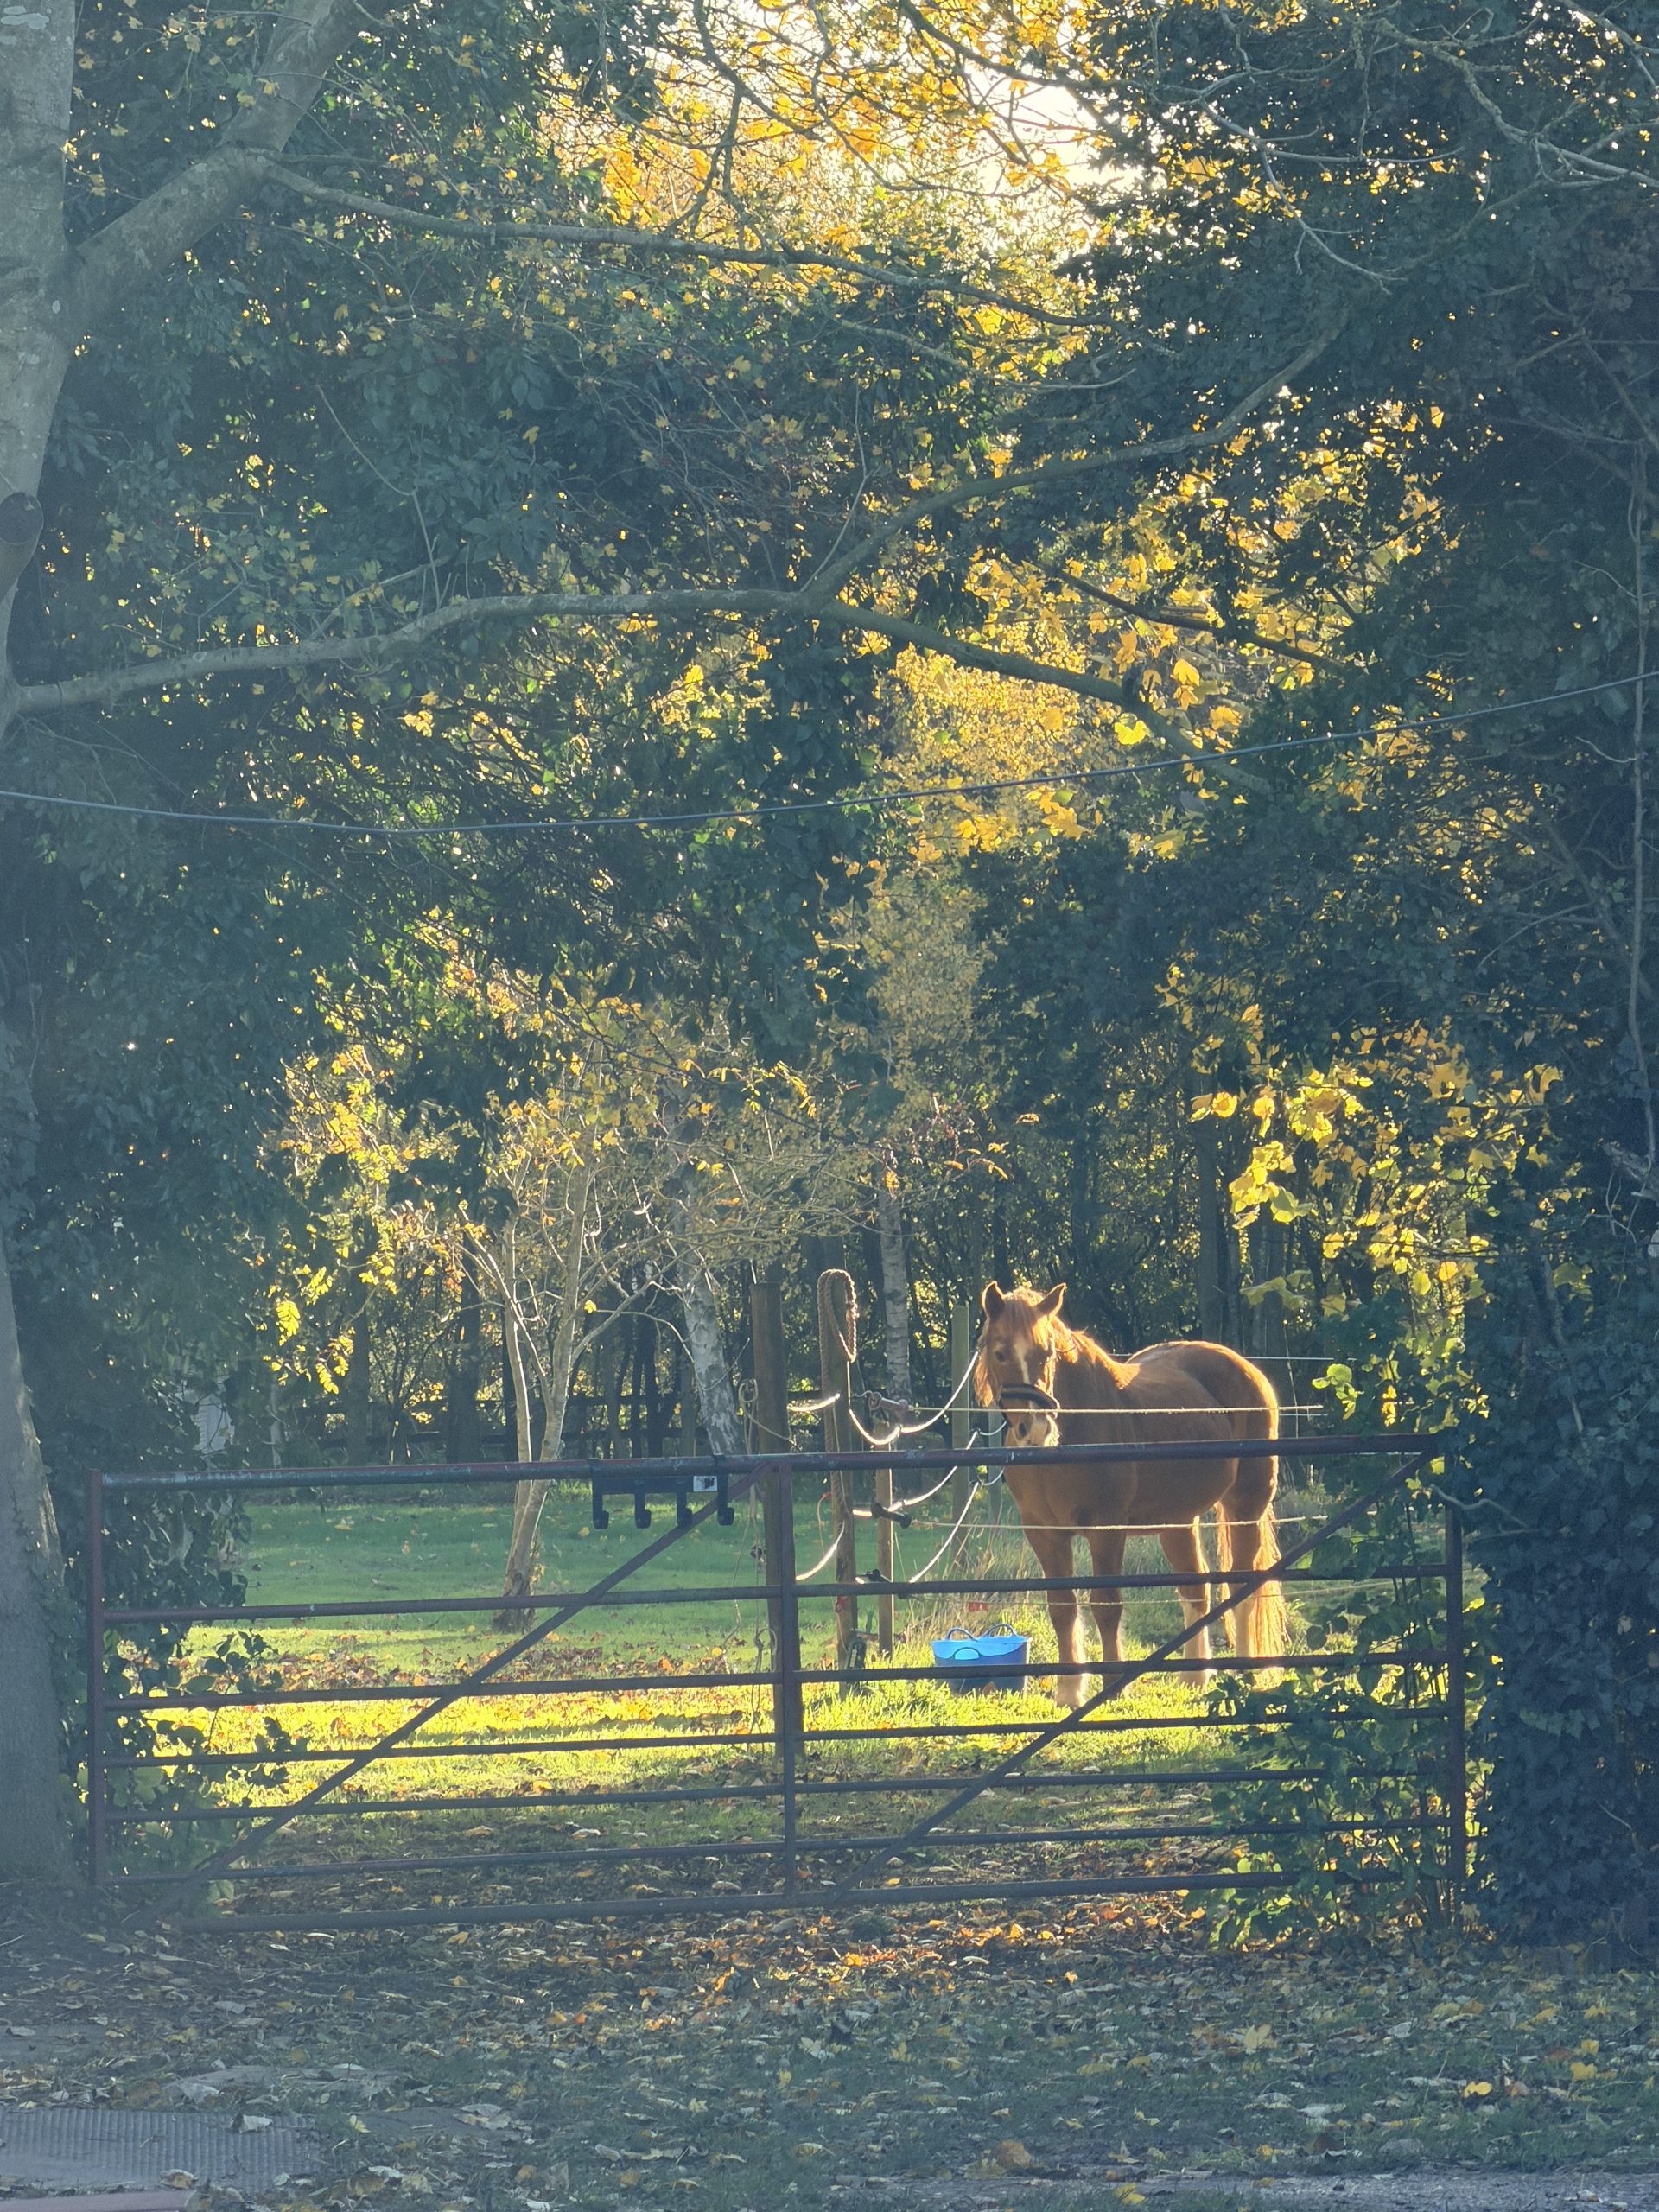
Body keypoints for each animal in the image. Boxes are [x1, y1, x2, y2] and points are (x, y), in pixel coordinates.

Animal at [975, 1282, 1287, 1705]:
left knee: (1241, 1585)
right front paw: (1068, 1692)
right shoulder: (1044, 1533)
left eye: (1047, 1354)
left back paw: (1245, 1672)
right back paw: (1194, 1676)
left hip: (1246, 1507)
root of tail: (1248, 1370)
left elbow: (1106, 1605)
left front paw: (1112, 1685)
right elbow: (1062, 1608)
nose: (1036, 1429)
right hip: (1178, 1521)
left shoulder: (1106, 1530)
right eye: (1000, 1353)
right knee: (1196, 1586)